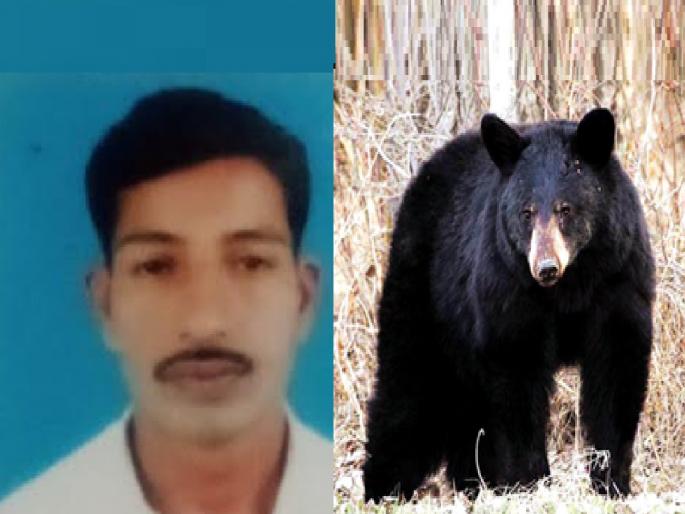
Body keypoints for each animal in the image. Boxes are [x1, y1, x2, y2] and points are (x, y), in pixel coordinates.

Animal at [362, 108, 655, 501]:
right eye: (526, 212)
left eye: (565, 209)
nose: (545, 267)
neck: (572, 285)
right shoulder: (508, 286)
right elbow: (518, 374)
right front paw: (531, 482)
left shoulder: (618, 277)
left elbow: (616, 369)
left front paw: (612, 482)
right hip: (424, 290)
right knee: (408, 386)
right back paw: (384, 486)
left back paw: (473, 482)